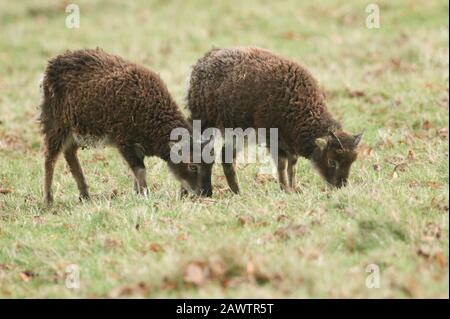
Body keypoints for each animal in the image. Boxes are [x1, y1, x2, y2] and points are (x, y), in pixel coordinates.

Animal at [40, 47, 213, 205]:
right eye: (193, 166)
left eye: (210, 165)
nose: (206, 194)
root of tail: (51, 66)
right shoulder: (124, 141)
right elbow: (140, 170)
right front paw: (145, 195)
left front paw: (137, 193)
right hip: (56, 124)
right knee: (50, 159)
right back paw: (49, 200)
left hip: (78, 130)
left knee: (69, 154)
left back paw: (85, 196)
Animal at [185, 46, 364, 194]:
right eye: (332, 161)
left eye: (352, 161)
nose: (340, 186)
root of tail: (202, 63)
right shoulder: (274, 141)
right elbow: (282, 166)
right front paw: (286, 189)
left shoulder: (289, 145)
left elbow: (292, 167)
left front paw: (294, 188)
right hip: (207, 125)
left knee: (226, 156)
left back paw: (237, 191)